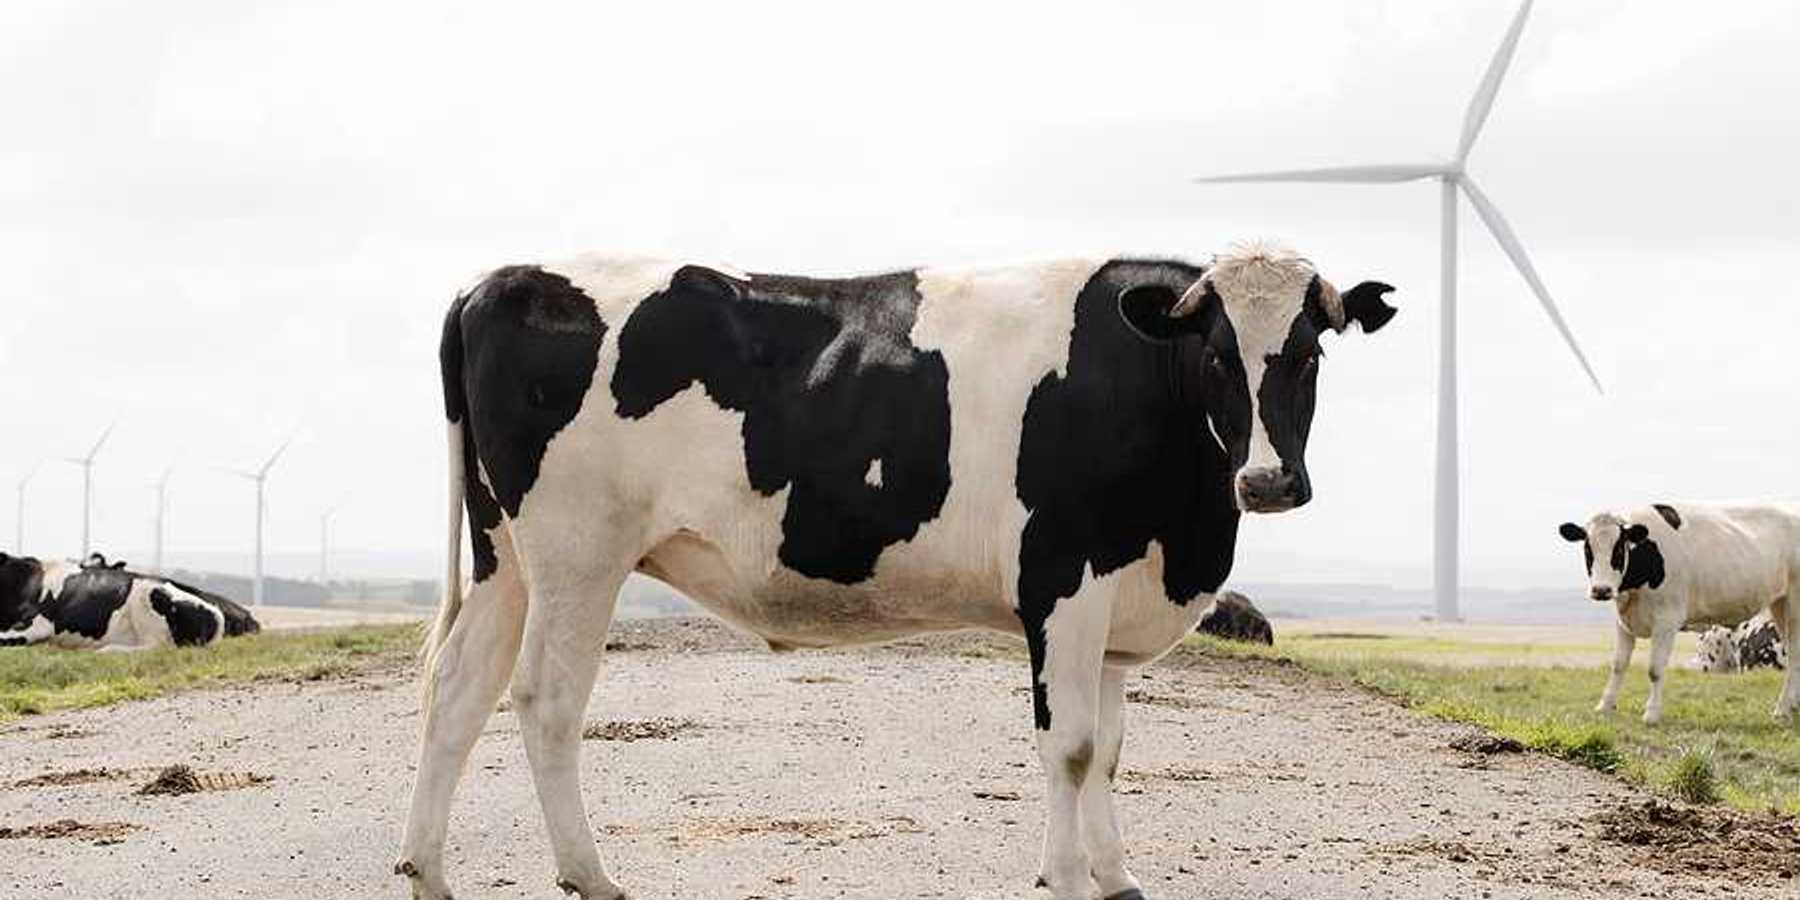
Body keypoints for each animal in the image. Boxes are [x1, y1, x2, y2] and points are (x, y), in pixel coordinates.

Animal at [397, 242, 1398, 900]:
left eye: (1309, 350)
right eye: (1218, 354)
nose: (1268, 481)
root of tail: (499, 276)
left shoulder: (1117, 599)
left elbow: (1110, 750)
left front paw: (1116, 878)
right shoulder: (1063, 579)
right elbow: (1071, 748)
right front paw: (1069, 879)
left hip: (504, 555)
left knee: (459, 687)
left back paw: (427, 872)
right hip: (578, 551)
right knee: (545, 700)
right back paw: (591, 875)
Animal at [1558, 503, 1800, 725]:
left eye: (1618, 549)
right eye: (1588, 549)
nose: (1602, 590)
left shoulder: (1667, 619)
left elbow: (1655, 669)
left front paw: (1651, 714)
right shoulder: (1623, 621)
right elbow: (1618, 665)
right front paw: (1605, 705)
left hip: (1794, 604)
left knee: (1795, 655)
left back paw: (1782, 710)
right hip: (1779, 604)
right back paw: (1792, 706)